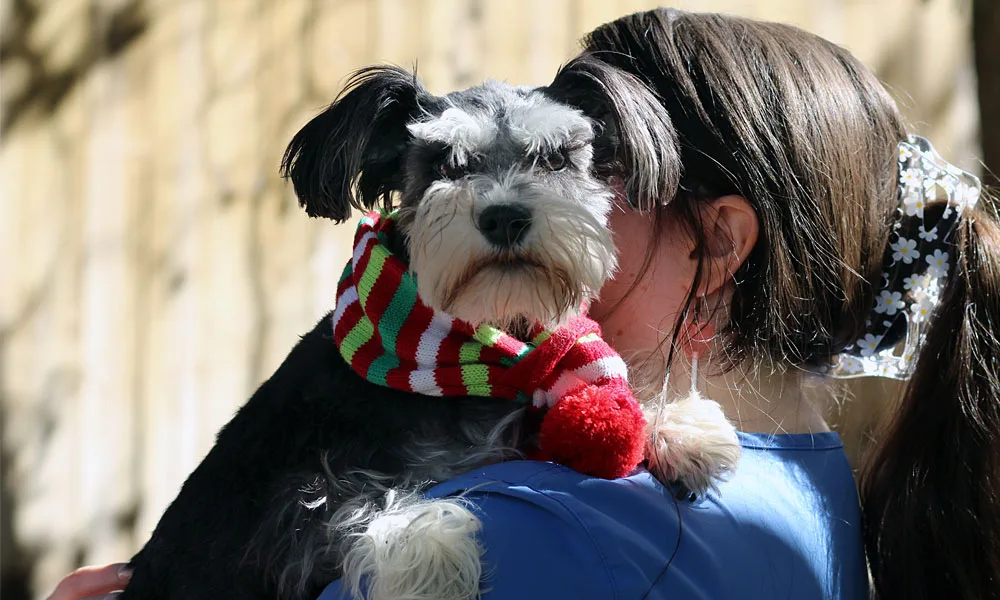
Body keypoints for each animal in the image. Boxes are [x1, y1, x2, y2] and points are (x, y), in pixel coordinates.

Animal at [119, 57, 744, 600]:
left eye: (556, 159)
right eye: (446, 162)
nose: (504, 216)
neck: (477, 344)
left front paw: (681, 425)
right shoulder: (279, 529)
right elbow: (352, 508)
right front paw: (433, 558)